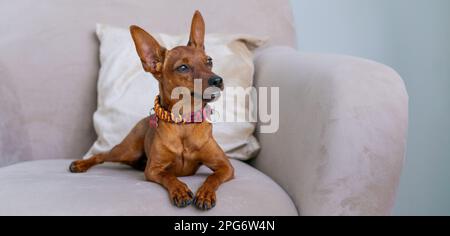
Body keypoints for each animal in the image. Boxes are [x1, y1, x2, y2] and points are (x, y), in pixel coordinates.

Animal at [69, 10, 236, 210]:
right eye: (183, 67)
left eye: (209, 61)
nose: (217, 80)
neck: (184, 123)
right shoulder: (153, 169)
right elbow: (169, 176)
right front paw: (180, 190)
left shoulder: (226, 166)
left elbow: (212, 178)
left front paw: (205, 194)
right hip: (127, 150)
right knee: (101, 155)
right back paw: (80, 164)